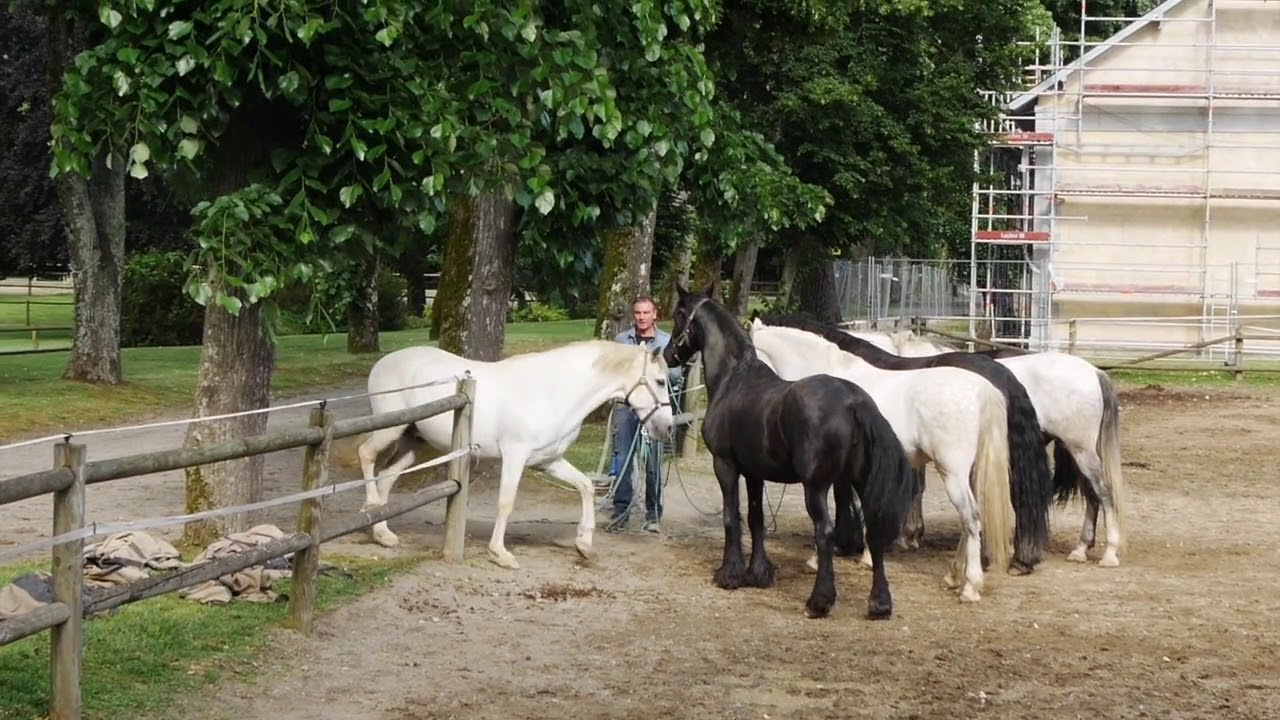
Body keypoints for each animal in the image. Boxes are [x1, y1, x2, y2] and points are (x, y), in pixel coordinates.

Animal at [356, 341, 674, 569]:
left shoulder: (548, 461)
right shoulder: (515, 456)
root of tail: (383, 363)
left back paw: (383, 534)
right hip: (391, 428)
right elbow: (506, 503)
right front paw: (500, 554)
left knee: (386, 476)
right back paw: (369, 508)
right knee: (365, 454)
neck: (553, 392)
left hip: (412, 440)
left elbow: (584, 486)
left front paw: (583, 544)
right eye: (660, 381)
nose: (667, 428)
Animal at [663, 286, 914, 620]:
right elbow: (755, 518)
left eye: (679, 314)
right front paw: (758, 574)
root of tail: (854, 402)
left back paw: (819, 601)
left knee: (824, 532)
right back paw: (879, 604)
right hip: (859, 481)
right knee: (873, 532)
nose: (667, 355)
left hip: (816, 487)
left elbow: (731, 517)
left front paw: (729, 574)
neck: (734, 378)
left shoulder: (725, 465)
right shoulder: (754, 473)